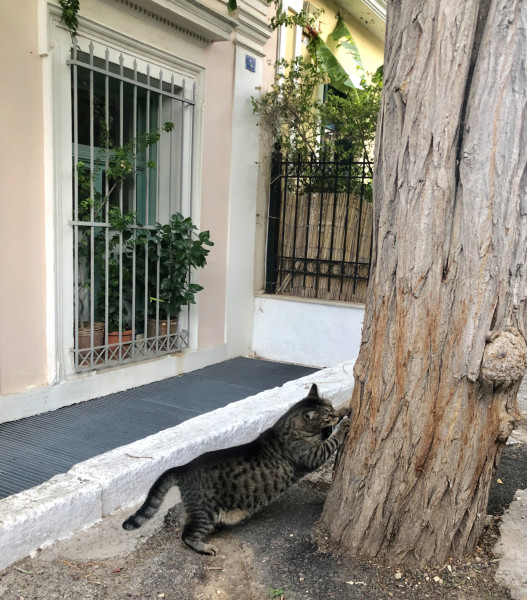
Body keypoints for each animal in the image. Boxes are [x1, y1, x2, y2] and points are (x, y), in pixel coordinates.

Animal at [123, 382, 350, 556]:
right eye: (327, 414)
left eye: (331, 407)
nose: (334, 413)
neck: (287, 428)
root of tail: (184, 467)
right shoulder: (311, 455)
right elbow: (331, 439)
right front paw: (344, 424)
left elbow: (327, 433)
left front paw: (345, 412)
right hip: (205, 511)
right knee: (187, 535)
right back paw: (205, 548)